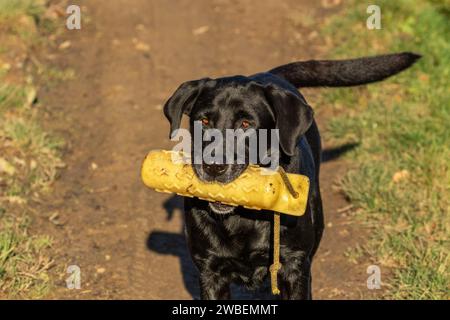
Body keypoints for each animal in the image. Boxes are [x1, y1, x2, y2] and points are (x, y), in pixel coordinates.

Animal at [163, 53, 420, 300]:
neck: (242, 217)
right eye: (204, 121)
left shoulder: (294, 266)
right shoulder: (210, 271)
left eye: (246, 124)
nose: (213, 166)